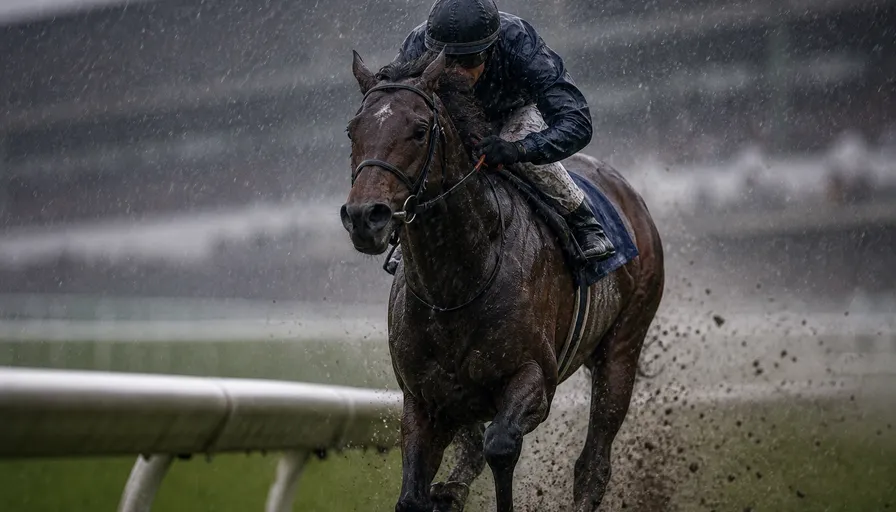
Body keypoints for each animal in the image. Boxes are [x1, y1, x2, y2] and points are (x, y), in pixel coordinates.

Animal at [340, 49, 665, 512]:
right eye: (353, 130)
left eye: (419, 130)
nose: (366, 217)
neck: (455, 285)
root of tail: (629, 195)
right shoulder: (424, 398)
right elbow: (414, 495)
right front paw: (443, 492)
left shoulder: (534, 380)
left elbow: (500, 445)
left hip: (622, 347)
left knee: (593, 463)